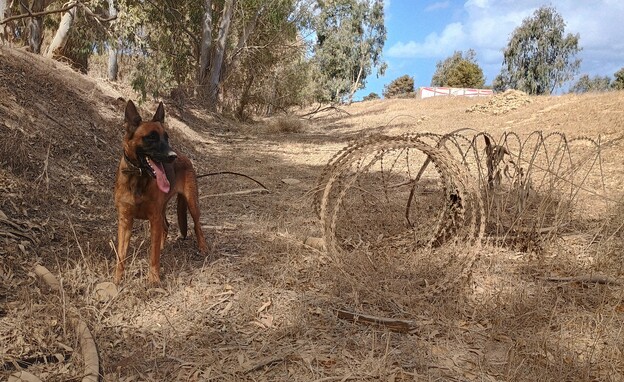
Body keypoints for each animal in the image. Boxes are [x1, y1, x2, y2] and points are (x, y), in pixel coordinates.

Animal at [114, 100, 207, 282]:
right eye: (151, 137)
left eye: (167, 137)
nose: (172, 156)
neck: (139, 177)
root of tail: (184, 157)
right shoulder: (125, 221)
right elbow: (121, 255)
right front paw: (117, 280)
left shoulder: (154, 218)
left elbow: (153, 254)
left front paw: (154, 279)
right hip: (162, 210)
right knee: (166, 225)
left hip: (192, 205)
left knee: (197, 226)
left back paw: (203, 247)